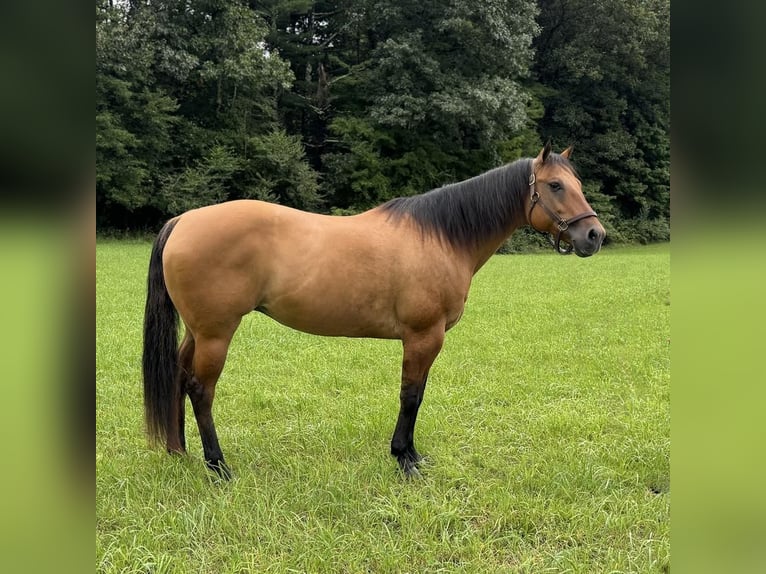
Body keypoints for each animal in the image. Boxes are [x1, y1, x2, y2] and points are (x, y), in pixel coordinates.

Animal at [142, 144, 608, 482]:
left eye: (577, 182)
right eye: (554, 186)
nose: (594, 235)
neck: (442, 236)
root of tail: (184, 221)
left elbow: (417, 395)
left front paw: (412, 454)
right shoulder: (423, 336)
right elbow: (411, 395)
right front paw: (405, 459)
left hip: (198, 332)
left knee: (179, 377)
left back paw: (179, 450)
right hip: (217, 333)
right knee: (201, 390)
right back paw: (218, 467)